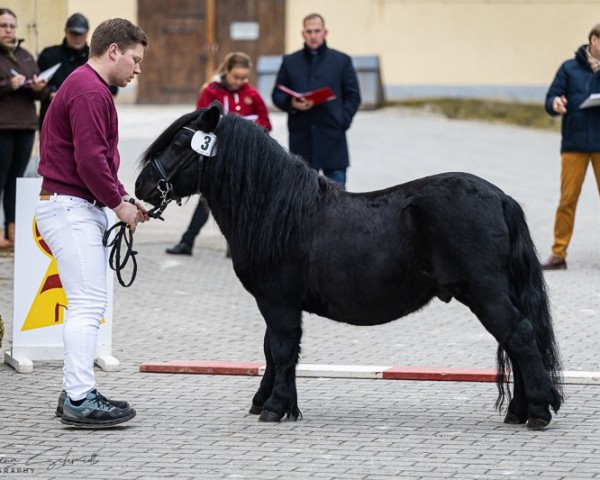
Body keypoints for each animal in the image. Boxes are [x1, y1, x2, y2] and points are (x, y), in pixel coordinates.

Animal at [135, 106, 564, 432]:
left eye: (179, 143)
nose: (141, 185)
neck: (276, 208)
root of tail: (501, 198)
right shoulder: (277, 305)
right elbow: (272, 350)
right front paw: (264, 400)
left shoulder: (277, 301)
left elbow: (281, 348)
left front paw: (275, 407)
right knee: (517, 339)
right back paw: (519, 411)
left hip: (485, 293)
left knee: (520, 336)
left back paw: (538, 412)